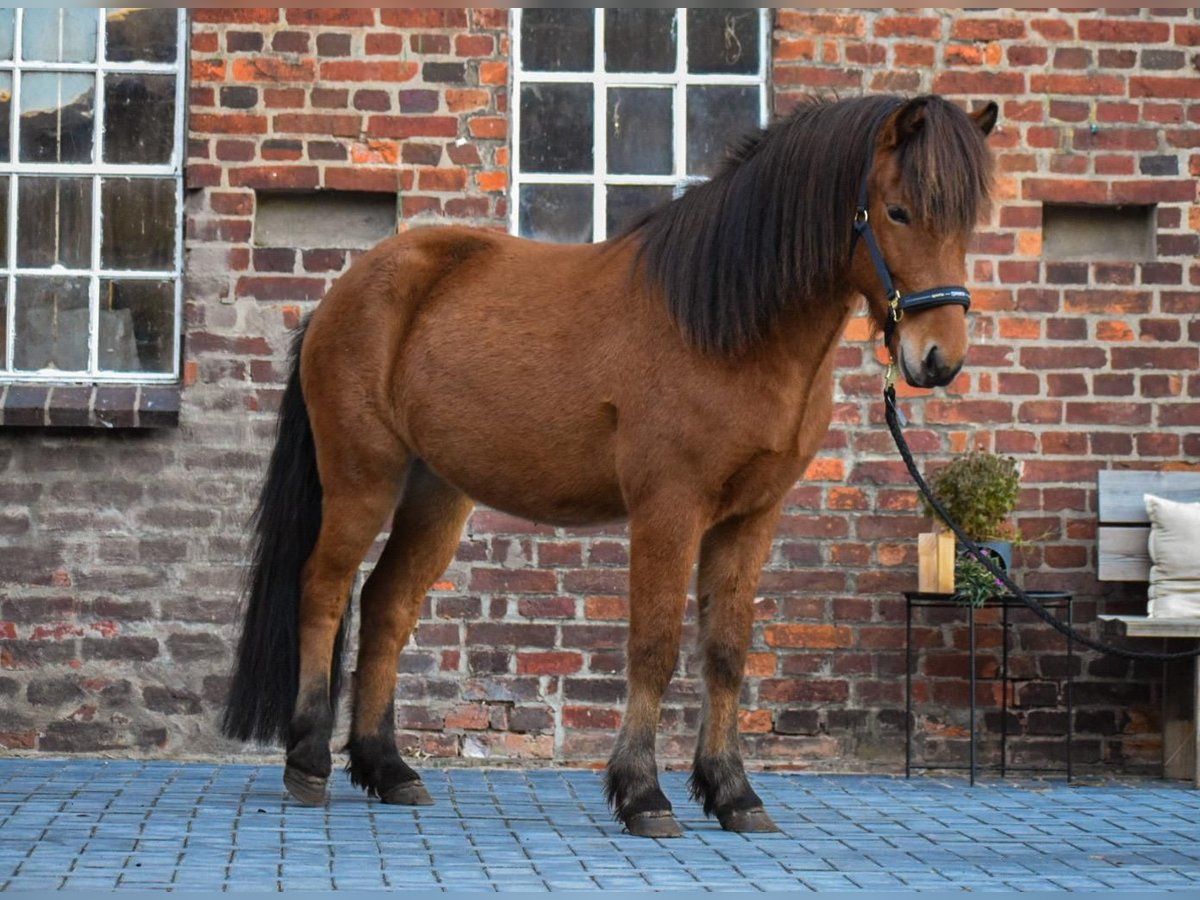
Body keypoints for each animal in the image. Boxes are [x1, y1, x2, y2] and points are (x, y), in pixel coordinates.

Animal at [223, 91, 993, 840]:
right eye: (898, 211)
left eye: (968, 223)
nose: (939, 358)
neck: (722, 326)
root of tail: (340, 296)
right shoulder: (668, 508)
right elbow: (653, 645)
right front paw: (642, 794)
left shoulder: (751, 517)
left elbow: (726, 651)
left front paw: (733, 794)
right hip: (363, 479)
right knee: (323, 589)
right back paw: (308, 762)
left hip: (436, 492)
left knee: (387, 604)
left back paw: (388, 769)